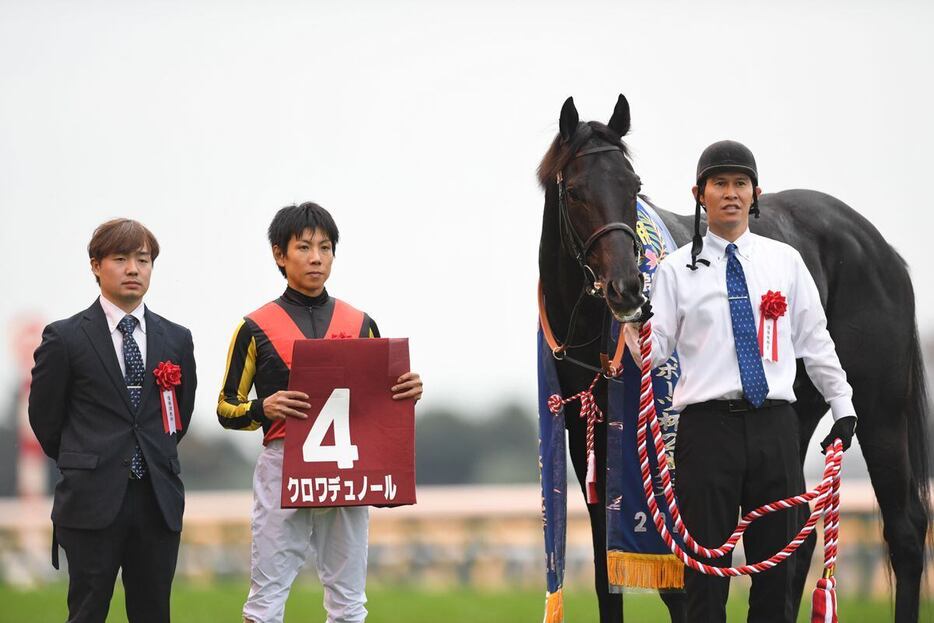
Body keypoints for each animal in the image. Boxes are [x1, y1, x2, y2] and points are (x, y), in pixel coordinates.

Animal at [536, 94, 932, 623]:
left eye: (633, 186)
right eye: (576, 192)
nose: (627, 289)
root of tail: (879, 248)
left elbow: (685, 575)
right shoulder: (586, 438)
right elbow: (607, 575)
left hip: (880, 411)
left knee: (904, 529)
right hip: (796, 415)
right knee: (793, 534)